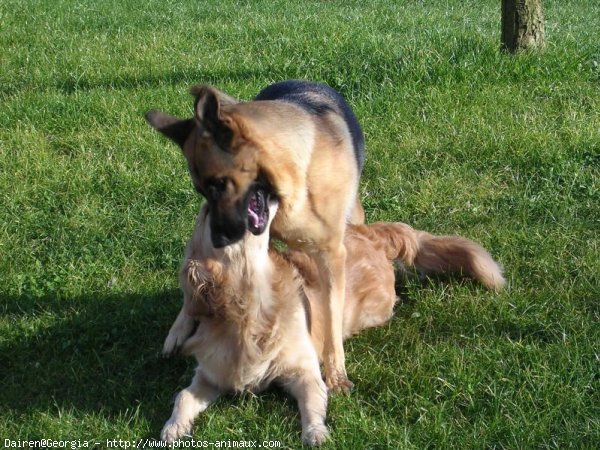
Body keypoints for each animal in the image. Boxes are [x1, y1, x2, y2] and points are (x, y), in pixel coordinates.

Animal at [148, 80, 368, 390]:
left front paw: (335, 371)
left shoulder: (331, 256)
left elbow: (332, 315)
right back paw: (179, 328)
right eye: (202, 191)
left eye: (219, 184)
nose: (218, 240)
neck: (293, 182)